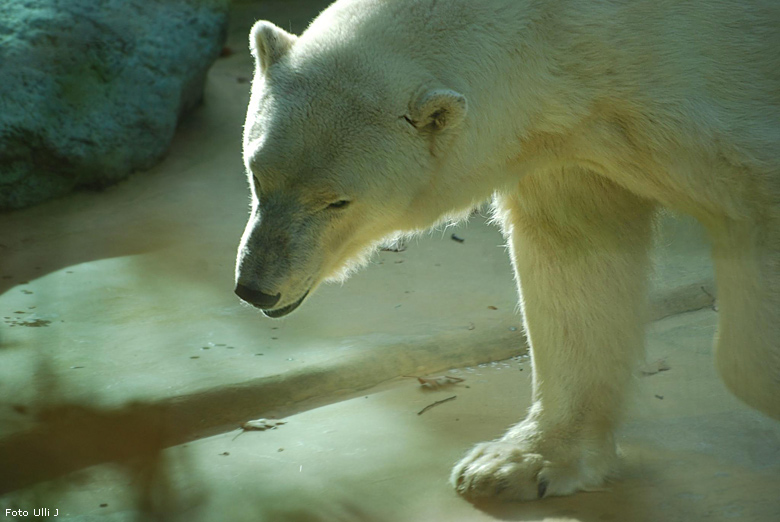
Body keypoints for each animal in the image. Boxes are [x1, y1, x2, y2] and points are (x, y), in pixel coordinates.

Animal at [236, 0, 780, 500]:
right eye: (257, 174)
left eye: (337, 201)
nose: (256, 287)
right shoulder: (577, 142)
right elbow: (578, 259)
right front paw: (520, 462)